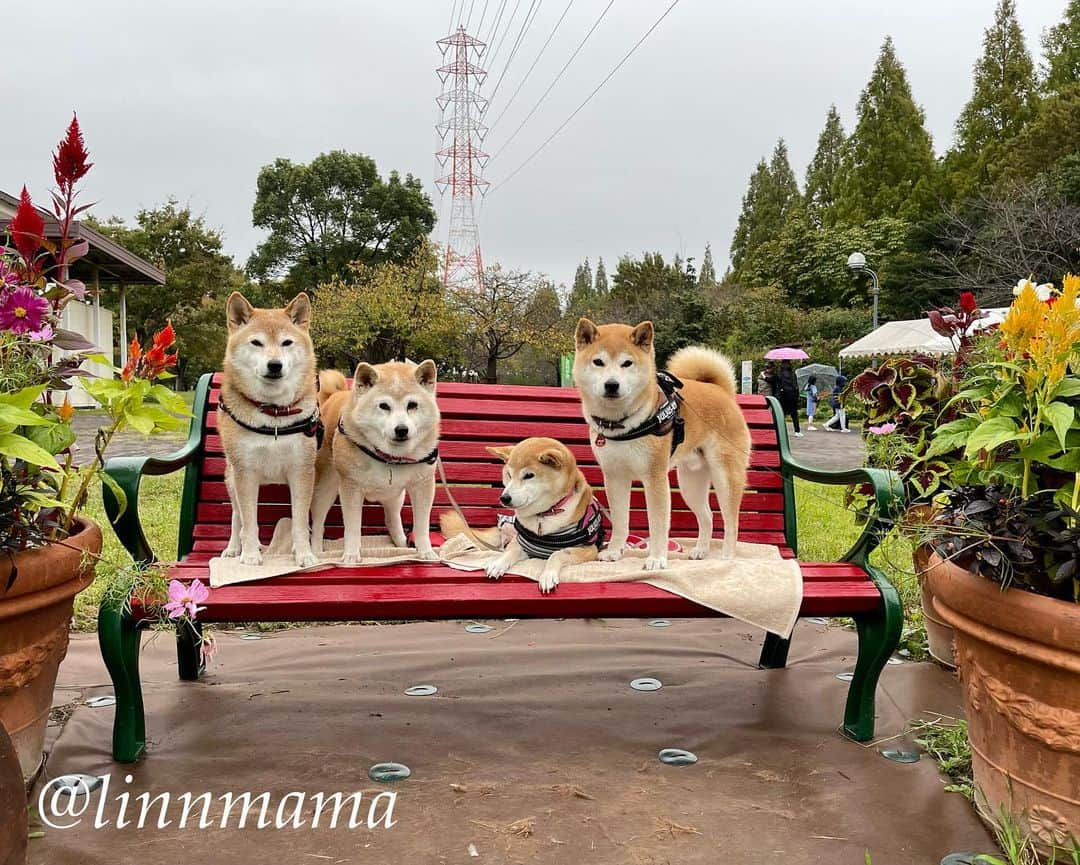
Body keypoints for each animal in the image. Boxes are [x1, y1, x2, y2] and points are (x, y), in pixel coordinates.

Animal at [217, 293, 319, 570]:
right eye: (256, 343)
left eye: (286, 342)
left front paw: (304, 553)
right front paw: (250, 555)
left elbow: (299, 522)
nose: (275, 365)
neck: (273, 416)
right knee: (236, 517)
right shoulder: (245, 473)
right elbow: (249, 522)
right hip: (231, 478)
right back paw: (234, 548)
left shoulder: (301, 471)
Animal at [311, 356, 440, 561]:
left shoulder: (423, 485)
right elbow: (352, 528)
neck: (389, 457)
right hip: (326, 487)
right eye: (384, 406)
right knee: (317, 522)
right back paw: (316, 551)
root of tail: (334, 395)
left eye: (412, 405)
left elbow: (422, 526)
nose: (401, 429)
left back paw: (402, 545)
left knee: (392, 519)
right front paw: (351, 555)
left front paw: (426, 552)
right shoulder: (351, 487)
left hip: (395, 496)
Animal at [440, 438, 609, 596]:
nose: (504, 498)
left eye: (529, 475)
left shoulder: (588, 549)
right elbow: (510, 552)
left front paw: (547, 575)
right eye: (508, 474)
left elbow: (557, 554)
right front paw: (498, 563)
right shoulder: (521, 542)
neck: (544, 514)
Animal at [574, 319, 751, 570]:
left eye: (627, 363)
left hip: (725, 476)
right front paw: (615, 551)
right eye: (598, 362)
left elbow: (657, 523)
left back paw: (726, 557)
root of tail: (721, 391)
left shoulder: (654, 477)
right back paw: (701, 550)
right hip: (690, 483)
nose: (611, 385)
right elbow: (620, 520)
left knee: (731, 521)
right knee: (707, 516)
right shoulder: (615, 476)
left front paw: (657, 558)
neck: (621, 424)